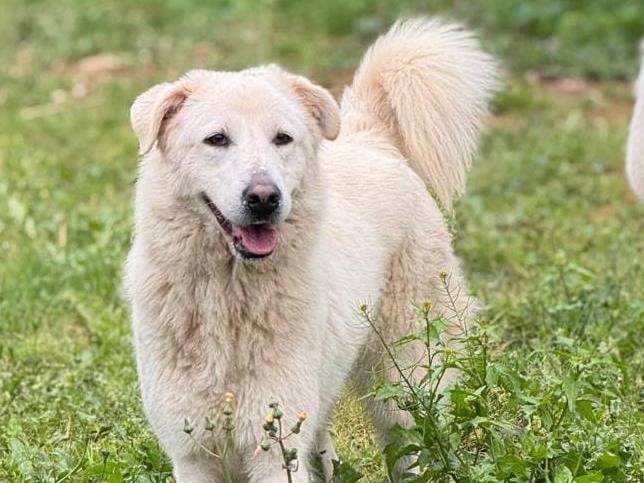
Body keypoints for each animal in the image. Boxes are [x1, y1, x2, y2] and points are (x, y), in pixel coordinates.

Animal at [124, 18, 497, 482]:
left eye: (282, 138)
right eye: (217, 139)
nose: (264, 198)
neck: (227, 299)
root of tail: (372, 137)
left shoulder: (273, 452)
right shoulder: (193, 454)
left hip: (405, 389)